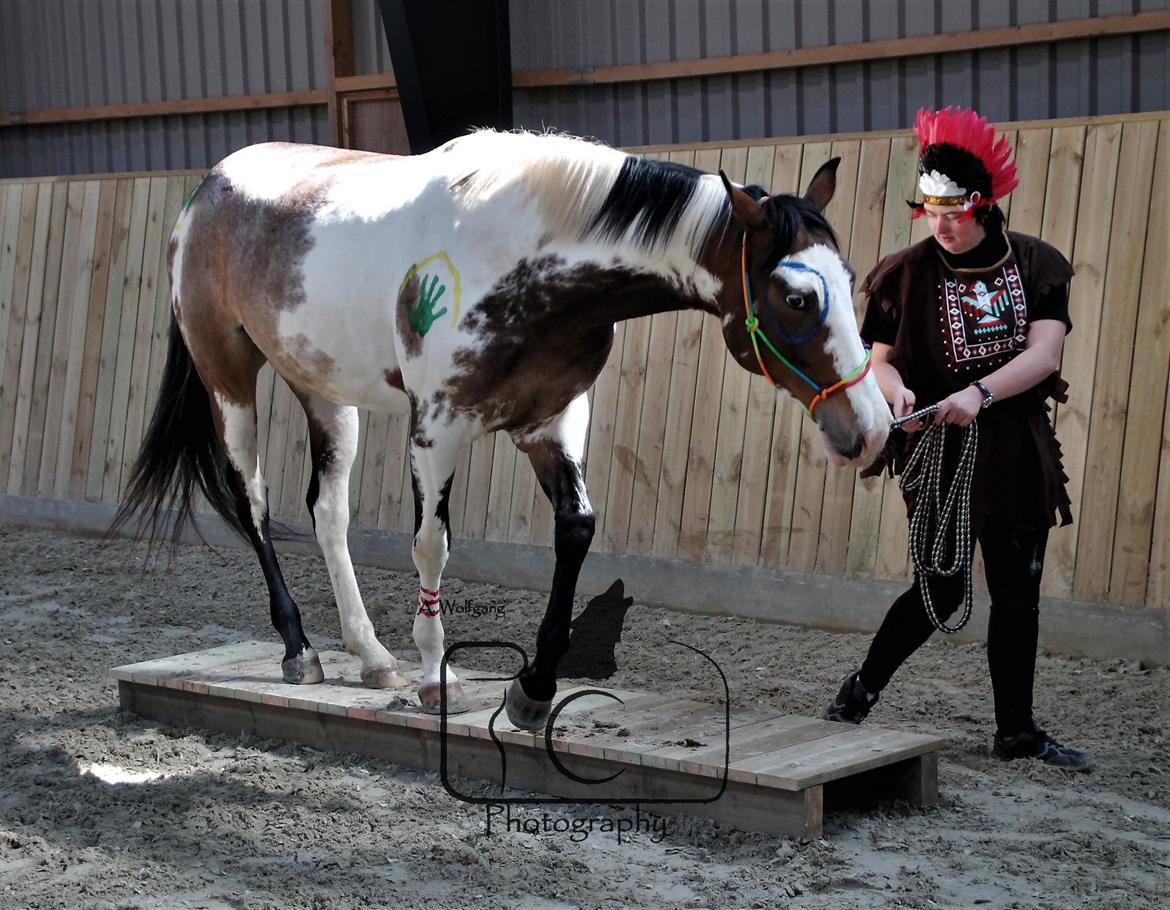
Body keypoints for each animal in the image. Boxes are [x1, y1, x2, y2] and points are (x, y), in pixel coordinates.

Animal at [116, 127, 884, 725]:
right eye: (796, 296)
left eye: (850, 278)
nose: (872, 429)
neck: (522, 259)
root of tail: (209, 187)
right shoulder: (438, 425)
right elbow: (432, 546)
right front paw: (438, 679)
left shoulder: (552, 421)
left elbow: (576, 531)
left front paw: (533, 691)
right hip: (228, 377)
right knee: (253, 499)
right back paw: (300, 650)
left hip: (324, 390)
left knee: (327, 512)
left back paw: (371, 657)